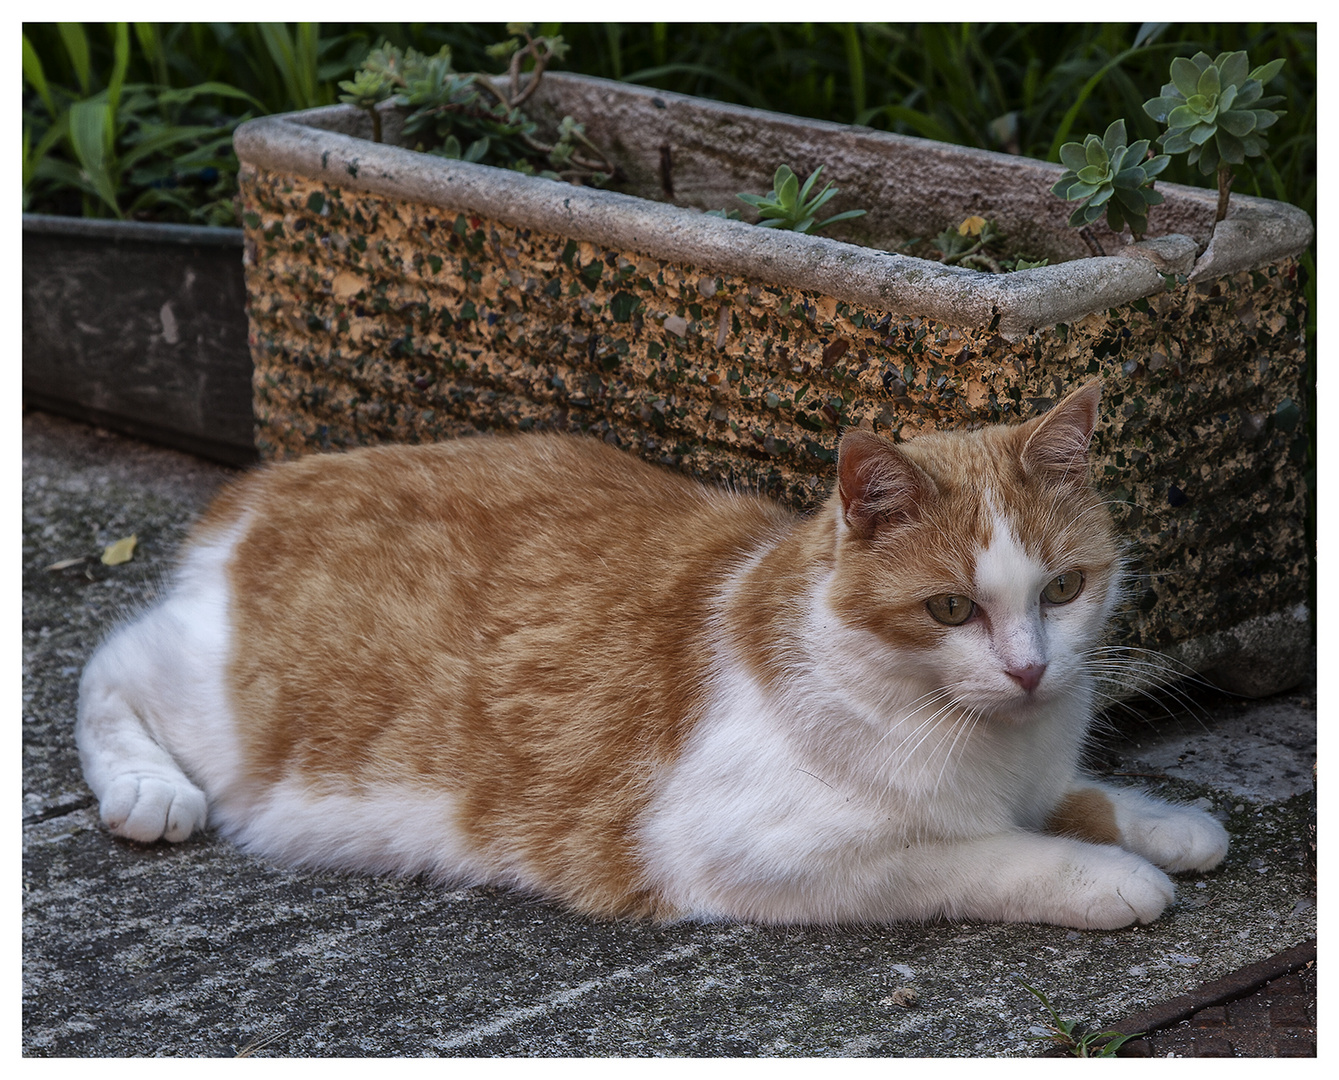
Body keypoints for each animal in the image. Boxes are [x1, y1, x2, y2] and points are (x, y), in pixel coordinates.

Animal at [70, 382, 1226, 931]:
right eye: (949, 609)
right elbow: (977, 854)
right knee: (108, 660)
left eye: (1062, 590)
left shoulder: (1044, 761)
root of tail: (267, 481)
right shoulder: (758, 854)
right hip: (220, 705)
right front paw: (1105, 876)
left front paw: (1164, 823)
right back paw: (146, 790)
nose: (1029, 670)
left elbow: (1079, 795)